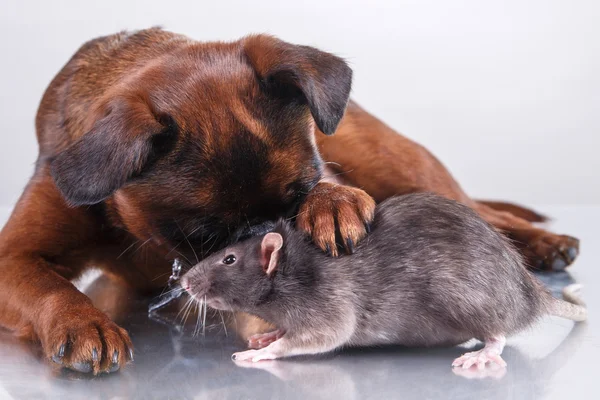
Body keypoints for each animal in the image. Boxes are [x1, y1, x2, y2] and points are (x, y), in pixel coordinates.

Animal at [0, 28, 580, 376]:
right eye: (205, 237)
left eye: (297, 198)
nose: (272, 237)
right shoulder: (13, 258)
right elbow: (47, 286)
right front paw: (84, 322)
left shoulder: (327, 168)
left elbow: (336, 189)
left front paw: (332, 205)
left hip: (399, 166)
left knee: (484, 213)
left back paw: (545, 242)